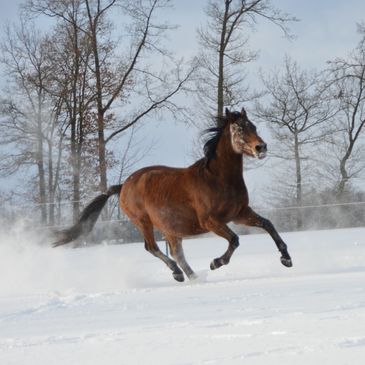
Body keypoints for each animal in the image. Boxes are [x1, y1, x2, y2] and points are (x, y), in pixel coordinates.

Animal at [52, 108, 292, 282]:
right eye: (240, 129)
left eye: (253, 126)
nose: (261, 147)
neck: (218, 179)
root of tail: (124, 185)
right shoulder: (210, 221)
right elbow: (234, 239)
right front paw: (215, 262)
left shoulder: (240, 213)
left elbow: (268, 224)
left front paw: (286, 259)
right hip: (143, 222)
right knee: (152, 248)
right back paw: (178, 273)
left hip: (169, 228)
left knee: (177, 253)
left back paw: (193, 277)